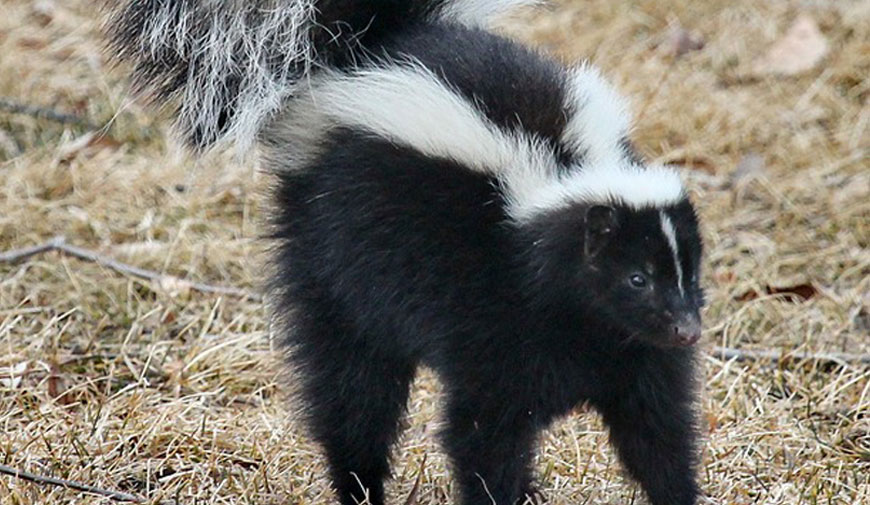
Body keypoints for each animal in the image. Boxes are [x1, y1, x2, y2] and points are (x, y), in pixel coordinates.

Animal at [107, 1, 708, 502]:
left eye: (690, 273)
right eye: (636, 278)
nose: (687, 330)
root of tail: (361, 55)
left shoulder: (636, 355)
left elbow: (656, 431)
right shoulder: (492, 323)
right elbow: (483, 435)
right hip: (332, 263)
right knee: (353, 392)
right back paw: (361, 488)